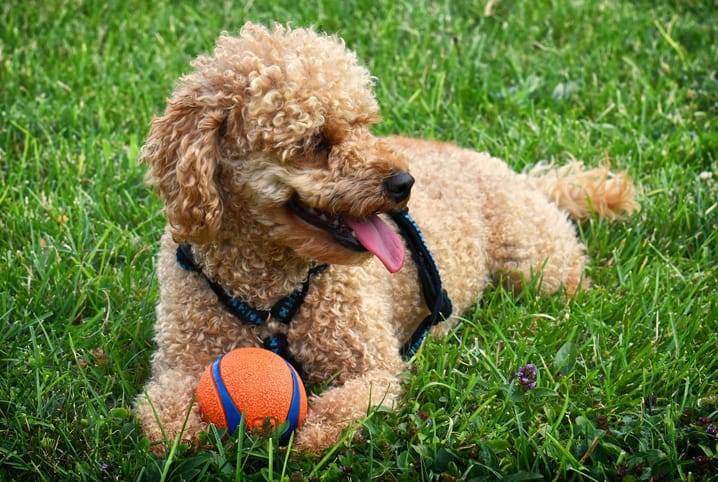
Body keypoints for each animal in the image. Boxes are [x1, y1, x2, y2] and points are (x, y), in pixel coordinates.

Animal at [136, 20, 640, 454]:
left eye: (364, 124)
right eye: (316, 142)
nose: (403, 183)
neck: (270, 293)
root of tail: (520, 178)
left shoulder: (371, 366)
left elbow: (341, 409)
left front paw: (308, 438)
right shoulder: (180, 362)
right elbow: (161, 416)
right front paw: (187, 433)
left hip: (535, 263)